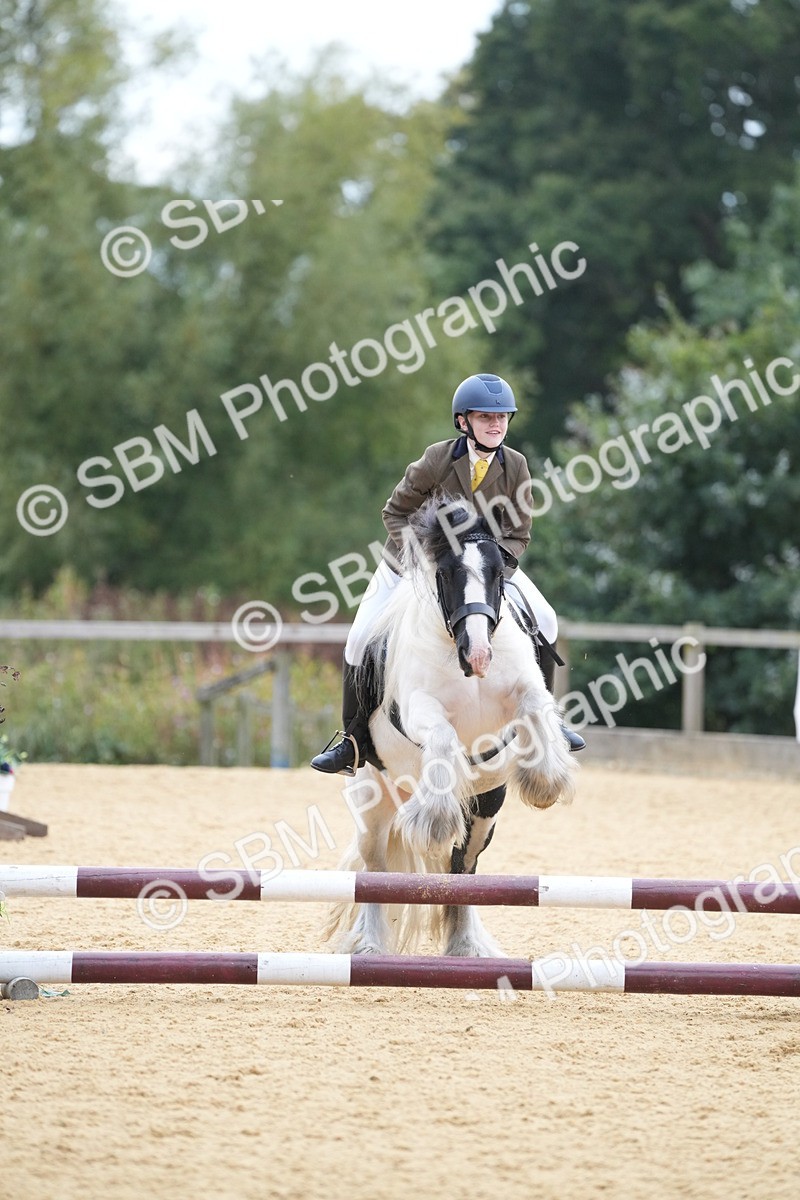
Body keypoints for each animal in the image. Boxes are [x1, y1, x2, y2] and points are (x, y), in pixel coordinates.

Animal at [325, 493, 578, 958]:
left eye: (498, 573)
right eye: (445, 573)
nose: (478, 656)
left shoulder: (522, 691)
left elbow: (537, 705)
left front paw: (546, 780)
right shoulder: (417, 709)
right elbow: (442, 734)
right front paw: (436, 820)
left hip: (486, 806)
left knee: (464, 868)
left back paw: (464, 946)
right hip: (371, 798)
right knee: (375, 870)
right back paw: (371, 945)